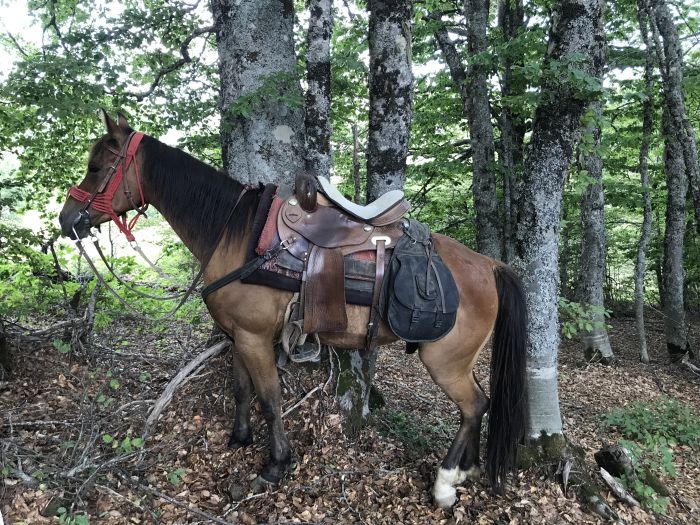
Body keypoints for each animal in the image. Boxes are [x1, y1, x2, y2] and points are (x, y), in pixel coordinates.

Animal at [60, 111, 528, 508]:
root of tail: (489, 264)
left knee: (474, 406)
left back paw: (446, 483)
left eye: (96, 167)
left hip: (445, 360)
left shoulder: (253, 338)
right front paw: (240, 437)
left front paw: (276, 464)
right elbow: (242, 389)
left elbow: (270, 400)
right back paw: (466, 470)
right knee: (480, 405)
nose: (67, 220)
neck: (237, 235)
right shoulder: (237, 335)